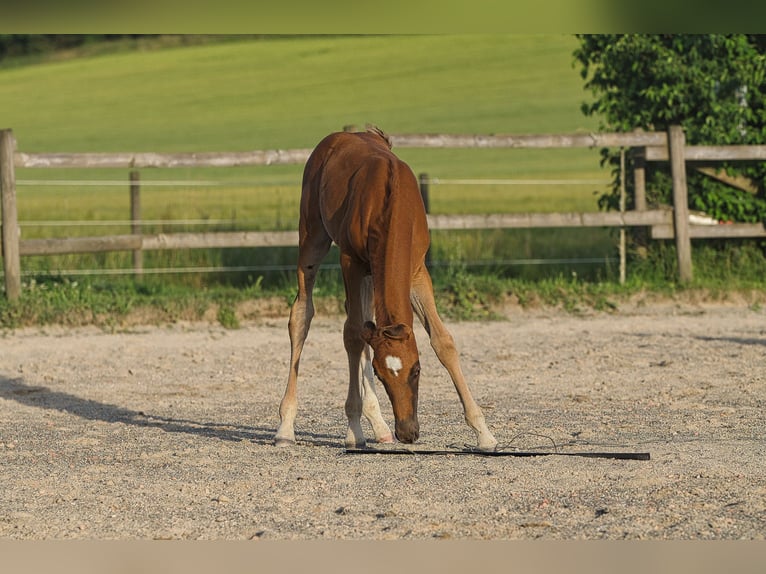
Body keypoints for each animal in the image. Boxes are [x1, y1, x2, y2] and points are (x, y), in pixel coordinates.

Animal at [274, 128, 498, 452]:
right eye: (380, 376)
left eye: (417, 370)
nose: (407, 432)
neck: (391, 202)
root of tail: (339, 136)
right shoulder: (351, 262)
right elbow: (353, 335)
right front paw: (353, 430)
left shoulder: (416, 270)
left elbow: (442, 340)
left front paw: (484, 432)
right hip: (313, 238)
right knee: (303, 315)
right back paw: (286, 427)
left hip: (372, 273)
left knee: (365, 321)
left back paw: (379, 426)